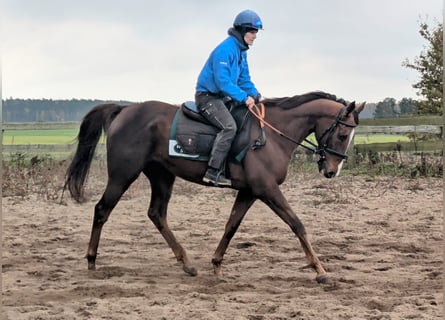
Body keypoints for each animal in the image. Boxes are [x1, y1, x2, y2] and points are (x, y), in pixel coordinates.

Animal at [65, 90, 364, 282]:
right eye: (342, 134)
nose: (331, 171)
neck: (272, 135)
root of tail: (124, 110)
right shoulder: (266, 189)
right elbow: (297, 224)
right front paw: (320, 270)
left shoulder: (249, 191)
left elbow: (231, 225)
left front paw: (217, 265)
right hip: (123, 175)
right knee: (102, 209)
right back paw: (91, 260)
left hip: (162, 176)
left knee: (156, 214)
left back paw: (187, 263)